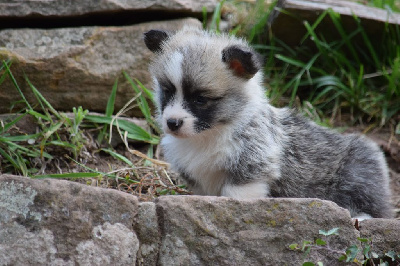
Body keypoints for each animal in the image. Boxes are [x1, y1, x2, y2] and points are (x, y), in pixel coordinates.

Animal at [143, 26, 390, 218]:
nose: (172, 122)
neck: (209, 135)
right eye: (167, 91)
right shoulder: (199, 180)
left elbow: (237, 196)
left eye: (200, 99)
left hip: (358, 174)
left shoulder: (251, 168)